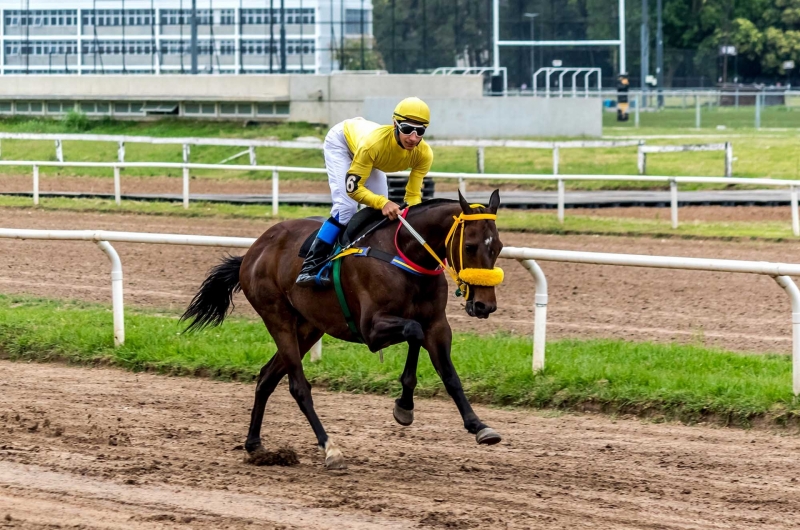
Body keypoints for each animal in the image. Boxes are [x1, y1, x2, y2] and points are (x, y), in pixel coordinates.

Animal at [184, 189, 504, 466]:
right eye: (470, 246)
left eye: (498, 247)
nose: (484, 305)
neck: (405, 254)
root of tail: (253, 251)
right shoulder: (371, 329)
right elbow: (413, 330)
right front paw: (404, 405)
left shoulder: (437, 325)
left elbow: (449, 375)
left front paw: (477, 425)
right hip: (277, 317)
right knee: (298, 386)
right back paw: (330, 447)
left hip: (309, 327)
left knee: (266, 377)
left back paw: (254, 445)